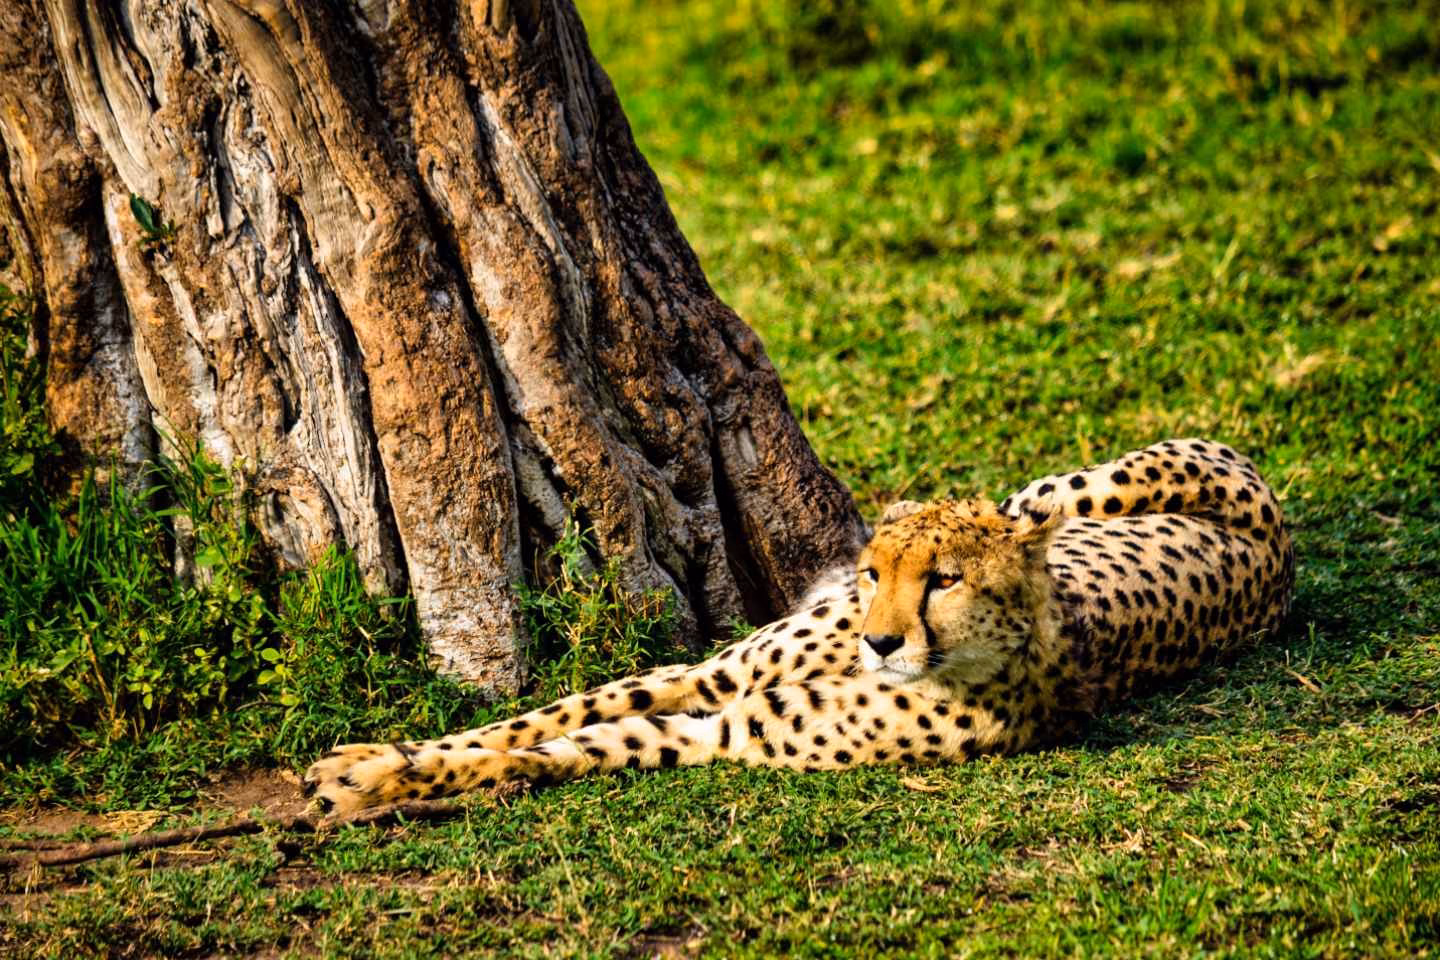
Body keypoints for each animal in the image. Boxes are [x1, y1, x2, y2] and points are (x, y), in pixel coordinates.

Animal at [304, 438, 1294, 815]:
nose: (880, 639)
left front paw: (369, 785)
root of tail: (1281, 547)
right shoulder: (707, 677)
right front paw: (369, 759)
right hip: (1059, 491)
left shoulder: (724, 728)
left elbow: (570, 747)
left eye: (945, 580)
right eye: (877, 572)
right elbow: (542, 716)